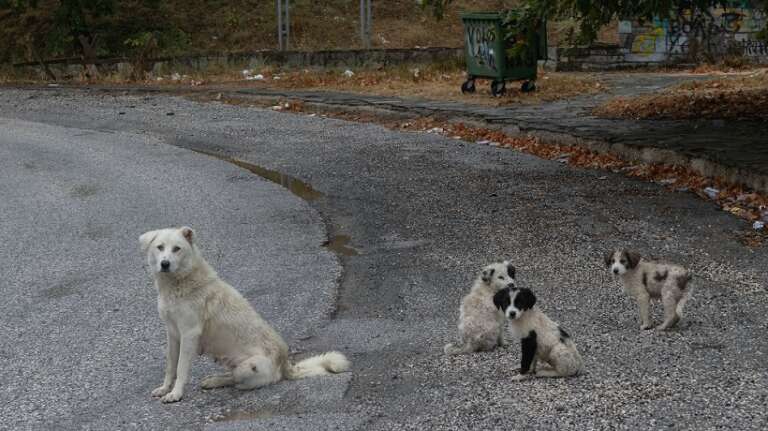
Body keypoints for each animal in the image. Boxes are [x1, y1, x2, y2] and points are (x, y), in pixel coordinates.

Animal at [141, 228, 352, 404]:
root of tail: (286, 365)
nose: (165, 264)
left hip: (249, 366)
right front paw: (165, 389)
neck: (179, 282)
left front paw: (176, 394)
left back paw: (218, 382)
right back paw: (213, 380)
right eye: (160, 247)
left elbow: (181, 369)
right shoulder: (173, 334)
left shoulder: (189, 335)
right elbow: (170, 366)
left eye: (177, 249)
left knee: (237, 381)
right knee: (231, 376)